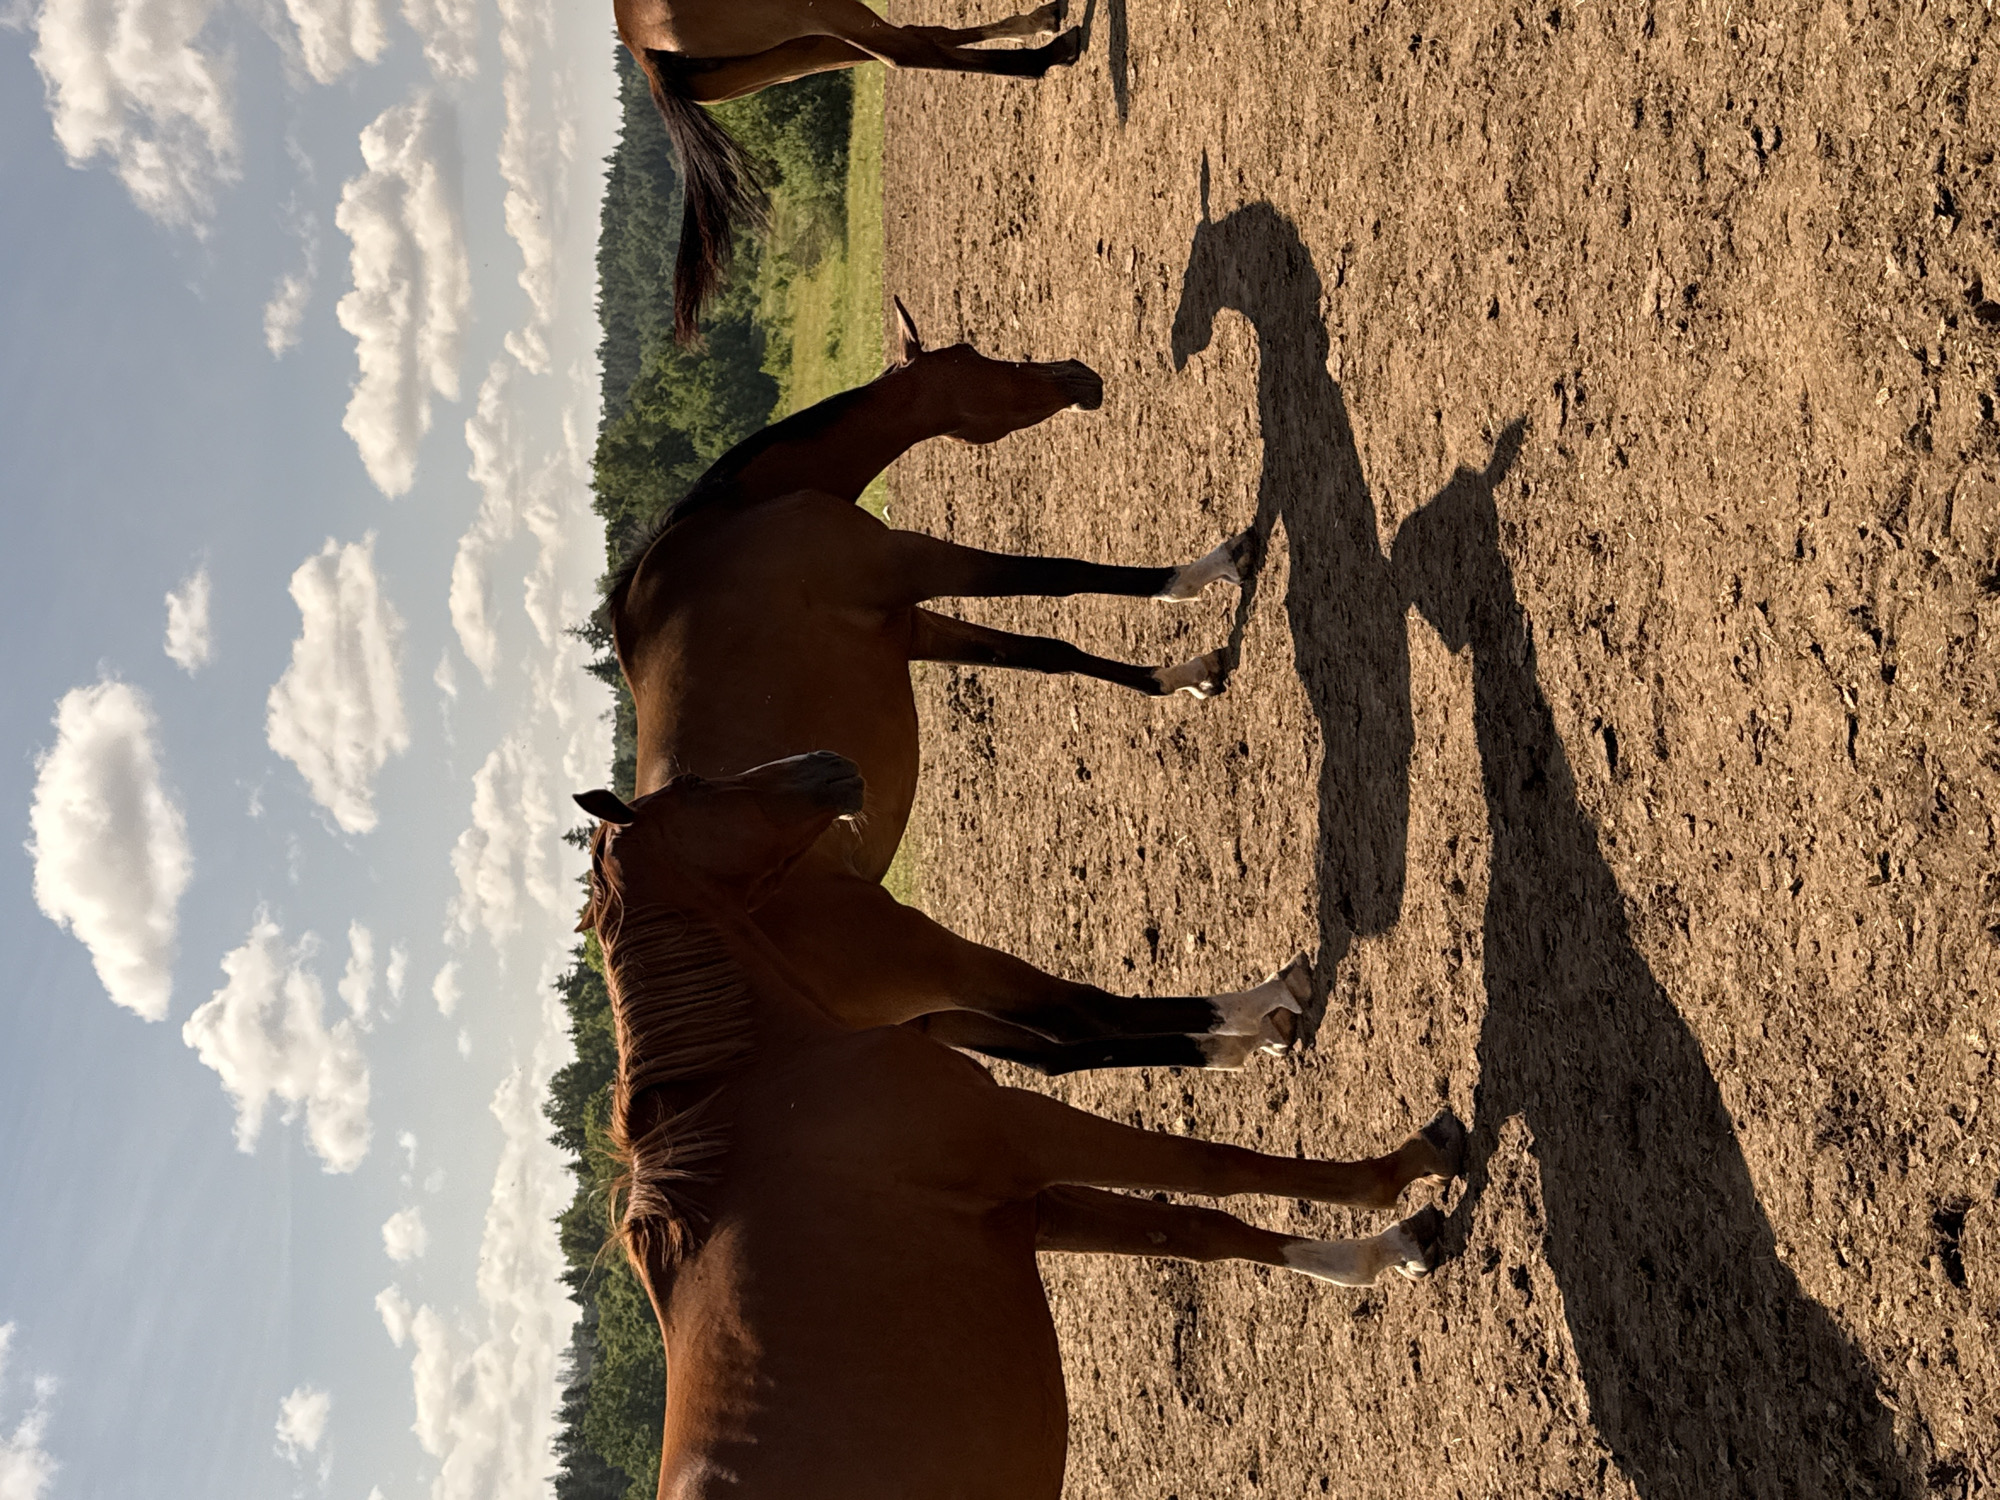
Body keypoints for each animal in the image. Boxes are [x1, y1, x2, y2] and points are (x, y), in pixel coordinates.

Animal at [573, 751, 1468, 1500]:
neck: (766, 1083)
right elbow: (1217, 1167)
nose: (827, 762)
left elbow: (1199, 1232)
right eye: (695, 786)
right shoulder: (1025, 1132)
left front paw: (1380, 1254)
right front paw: (1401, 1169)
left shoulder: (1025, 1201)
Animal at [598, 298, 1309, 1076]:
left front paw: (1183, 676)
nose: (1077, 373)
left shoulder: (913, 626)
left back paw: (1240, 1043)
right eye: (969, 354)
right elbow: (1060, 575)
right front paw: (1210, 568)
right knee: (1081, 1012)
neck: (740, 514)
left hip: (933, 1015)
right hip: (927, 956)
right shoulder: (913, 559)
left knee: (1063, 1053)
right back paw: (1263, 1001)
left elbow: (1050, 652)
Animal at [611, 0, 1083, 339]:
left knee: (912, 42)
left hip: (800, 49)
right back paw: (1049, 53)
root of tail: (641, 46)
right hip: (817, 15)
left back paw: (1041, 25)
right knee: (905, 51)